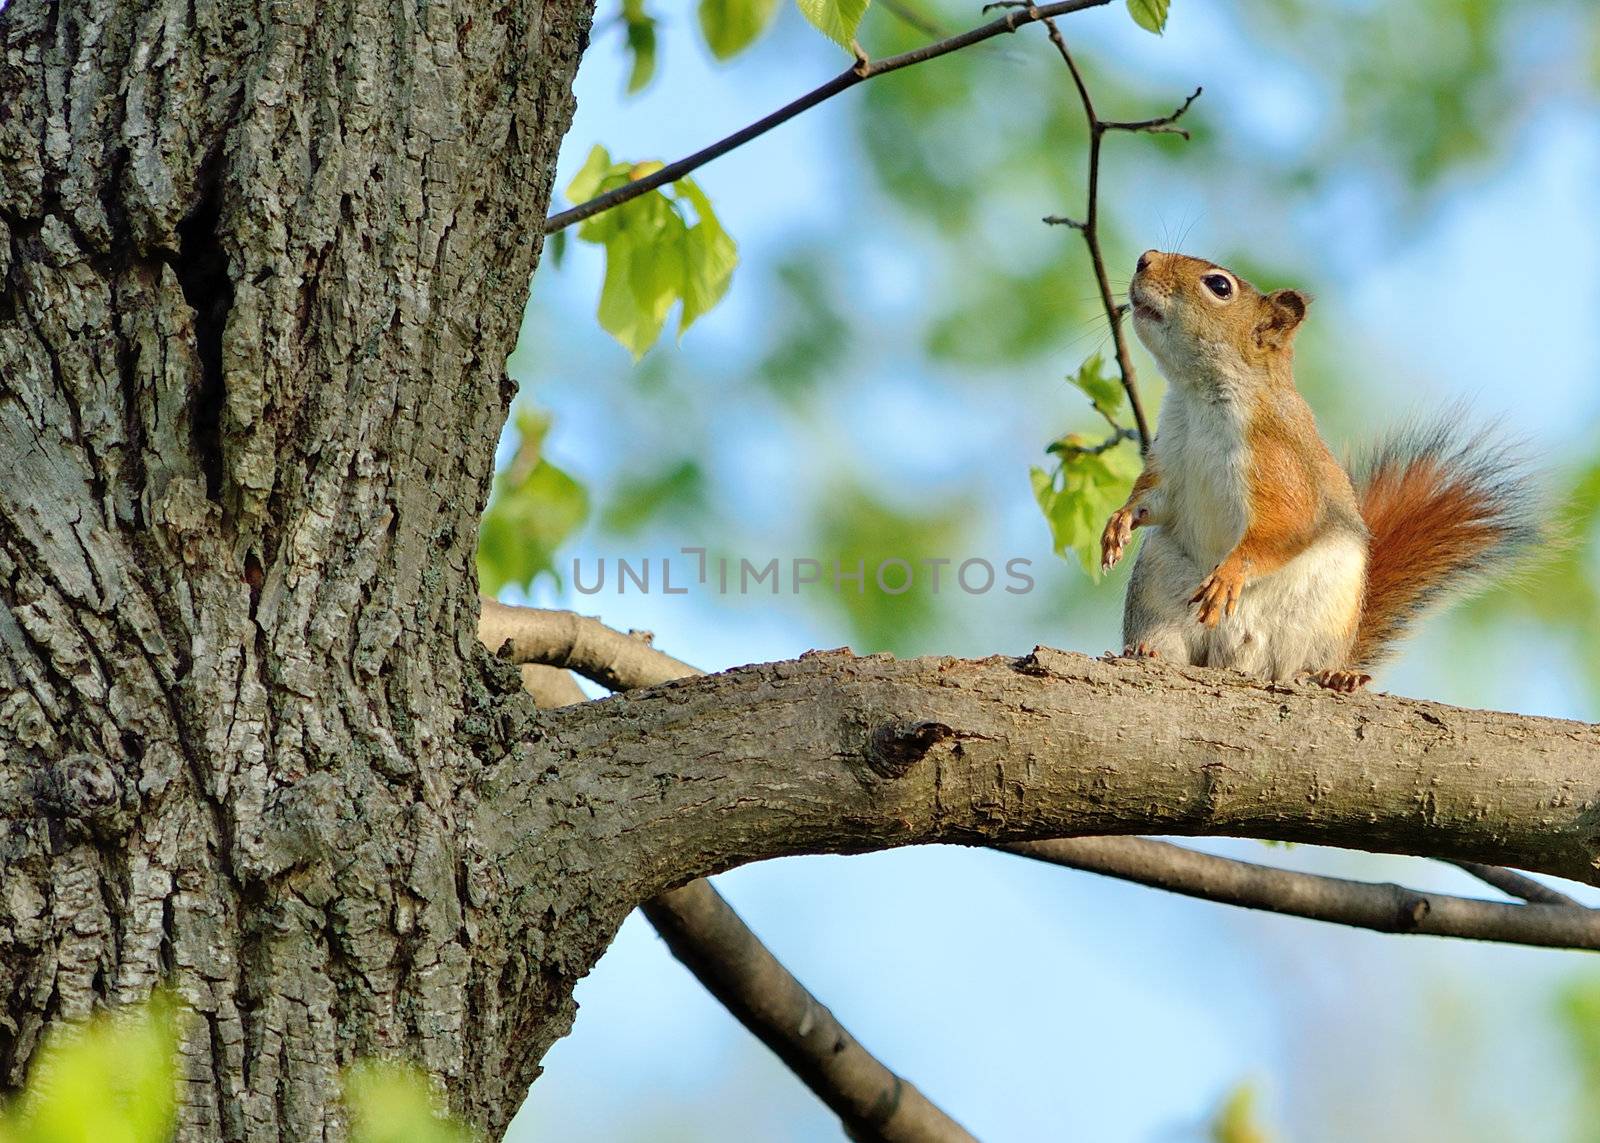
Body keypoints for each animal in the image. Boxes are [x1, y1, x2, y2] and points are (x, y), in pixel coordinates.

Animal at [1094, 249, 1529, 691]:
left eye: (1219, 286)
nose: (1145, 259)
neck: (1199, 396)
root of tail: (1237, 660)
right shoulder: (1170, 453)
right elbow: (1153, 496)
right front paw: (1119, 521)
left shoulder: (1279, 459)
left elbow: (1289, 520)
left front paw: (1231, 572)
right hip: (1160, 584)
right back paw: (1145, 650)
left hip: (1323, 613)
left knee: (1304, 663)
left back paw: (1333, 675)